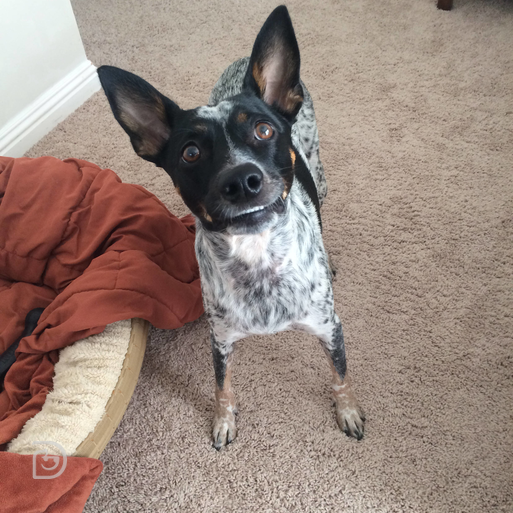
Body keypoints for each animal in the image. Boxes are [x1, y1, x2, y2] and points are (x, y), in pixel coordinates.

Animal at [98, 4, 366, 446]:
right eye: (190, 152)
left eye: (263, 129)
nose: (241, 180)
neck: (258, 258)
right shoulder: (220, 338)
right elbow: (221, 386)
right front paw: (224, 420)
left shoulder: (330, 328)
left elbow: (340, 376)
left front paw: (347, 410)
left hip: (322, 176)